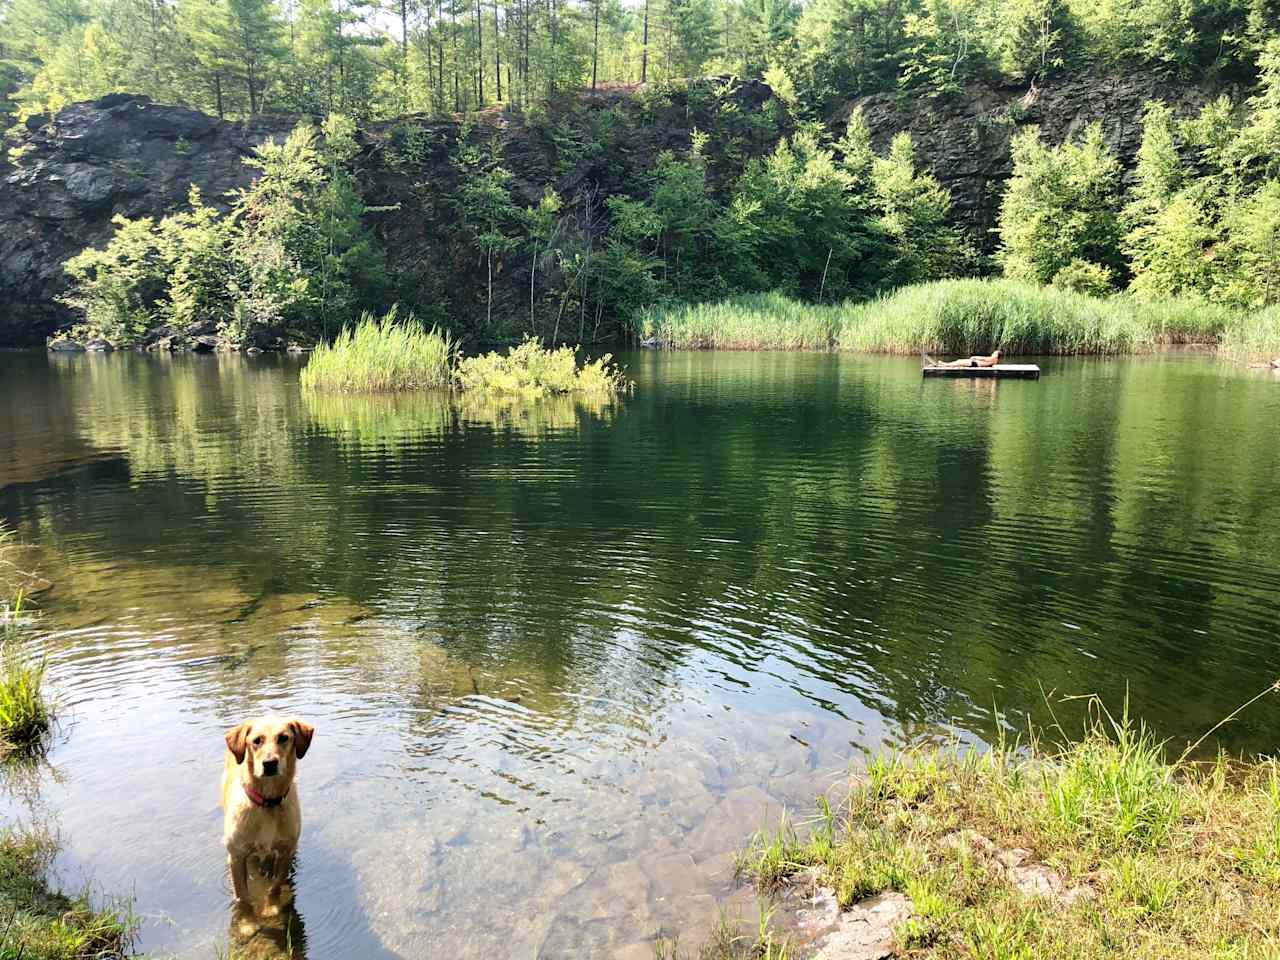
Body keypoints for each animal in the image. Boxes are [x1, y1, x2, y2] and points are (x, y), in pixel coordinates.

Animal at [221, 716, 313, 911]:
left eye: (284, 738)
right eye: (256, 741)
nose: (270, 763)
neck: (267, 803)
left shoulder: (285, 852)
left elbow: (275, 887)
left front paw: (272, 908)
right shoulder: (237, 856)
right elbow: (243, 896)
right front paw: (247, 918)